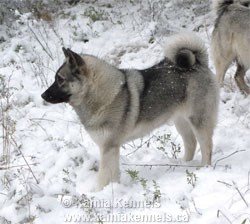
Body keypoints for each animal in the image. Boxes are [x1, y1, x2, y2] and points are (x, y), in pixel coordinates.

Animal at [42, 32, 218, 191]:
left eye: (60, 79)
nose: (43, 95)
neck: (101, 95)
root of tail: (198, 63)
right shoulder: (111, 149)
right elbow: (112, 174)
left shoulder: (109, 148)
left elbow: (104, 175)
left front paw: (101, 193)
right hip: (181, 122)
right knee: (191, 143)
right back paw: (184, 165)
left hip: (199, 121)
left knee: (207, 147)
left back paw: (203, 169)